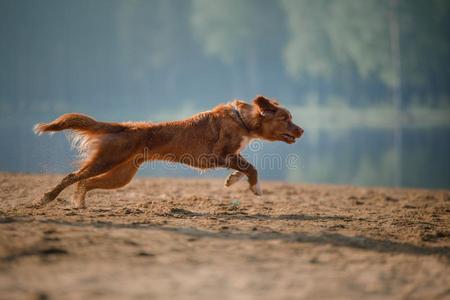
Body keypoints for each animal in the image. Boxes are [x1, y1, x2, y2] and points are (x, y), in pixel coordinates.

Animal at [33, 96, 304, 209]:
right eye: (286, 118)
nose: (301, 130)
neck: (242, 121)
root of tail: (123, 126)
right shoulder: (216, 156)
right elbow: (250, 167)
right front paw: (255, 188)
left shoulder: (229, 156)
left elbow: (243, 167)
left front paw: (233, 179)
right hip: (106, 161)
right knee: (72, 177)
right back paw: (46, 198)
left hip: (121, 175)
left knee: (85, 182)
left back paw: (79, 202)